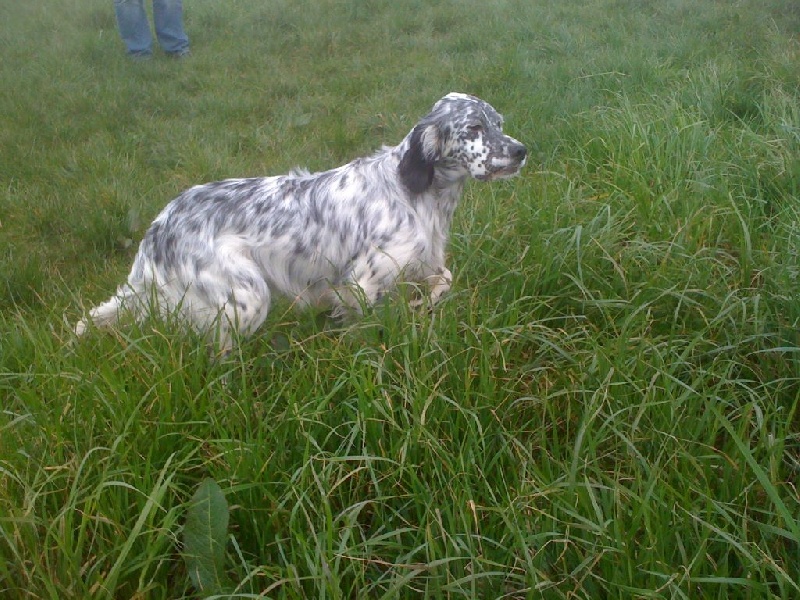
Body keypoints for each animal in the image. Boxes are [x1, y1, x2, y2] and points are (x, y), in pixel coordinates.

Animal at [73, 91, 524, 350]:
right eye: (474, 128)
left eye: (499, 123)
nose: (522, 150)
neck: (416, 191)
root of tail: (157, 227)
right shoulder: (361, 282)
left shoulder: (424, 261)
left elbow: (443, 280)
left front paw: (421, 304)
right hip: (246, 297)